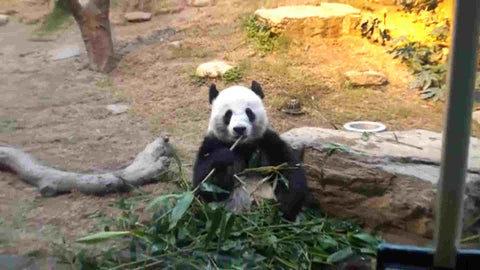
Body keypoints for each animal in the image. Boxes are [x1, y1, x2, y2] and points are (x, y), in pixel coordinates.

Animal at [193, 80, 310, 221]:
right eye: (228, 114)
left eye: (249, 112)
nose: (239, 129)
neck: (243, 146)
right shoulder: (213, 143)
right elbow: (205, 185)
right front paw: (224, 157)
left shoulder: (267, 141)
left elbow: (288, 170)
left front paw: (284, 209)